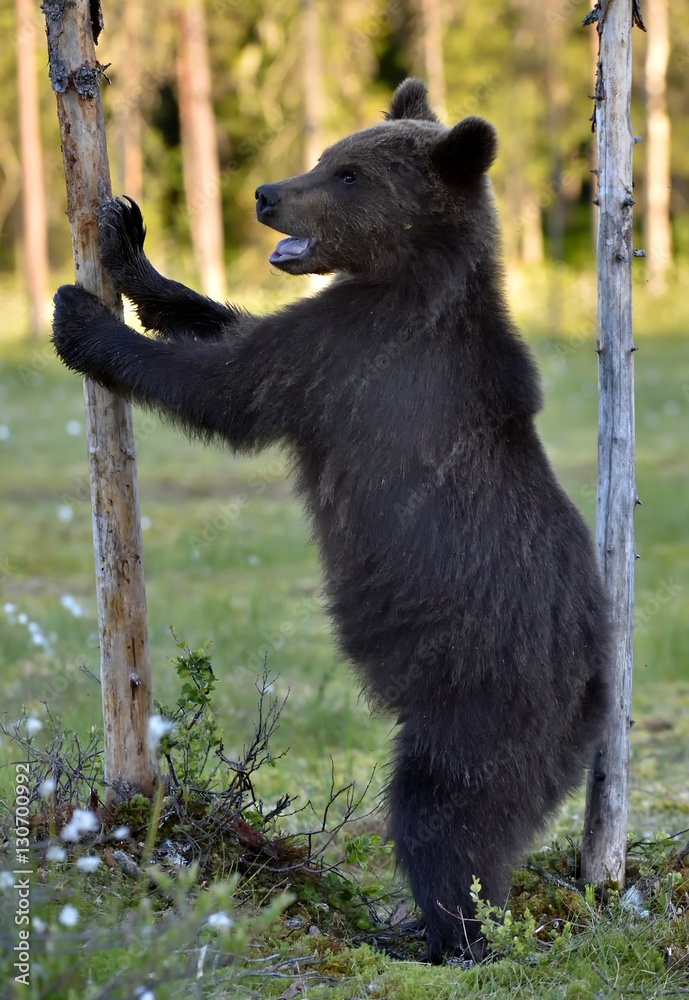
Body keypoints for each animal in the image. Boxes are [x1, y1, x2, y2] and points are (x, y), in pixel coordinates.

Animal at [52, 78, 611, 963]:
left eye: (347, 173)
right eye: (326, 156)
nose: (265, 193)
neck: (405, 276)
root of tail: (592, 682)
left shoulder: (350, 360)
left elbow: (226, 384)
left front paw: (79, 315)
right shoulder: (332, 338)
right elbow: (225, 324)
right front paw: (129, 241)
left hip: (482, 698)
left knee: (440, 817)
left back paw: (438, 936)